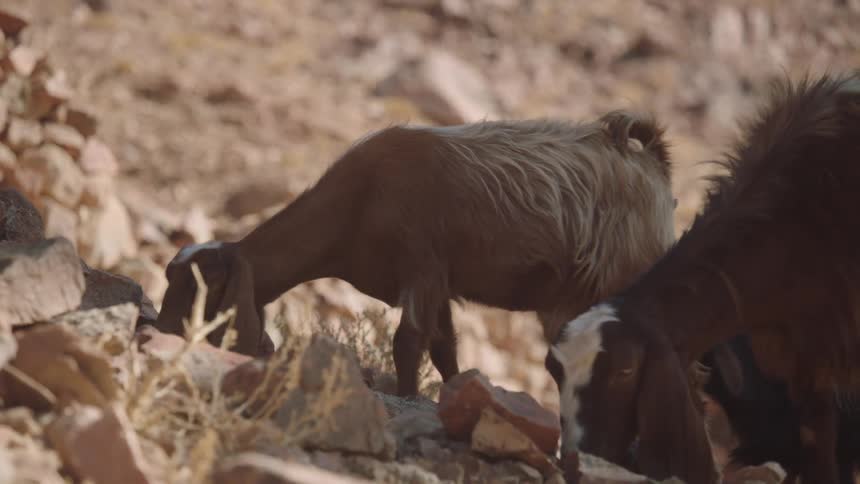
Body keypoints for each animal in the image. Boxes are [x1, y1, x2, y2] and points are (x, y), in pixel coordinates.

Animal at [153, 111, 677, 397]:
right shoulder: (438, 284)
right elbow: (444, 349)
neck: (360, 199)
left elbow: (406, 344)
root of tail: (649, 161)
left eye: (201, 283)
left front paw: (407, 397)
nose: (161, 329)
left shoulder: (420, 268)